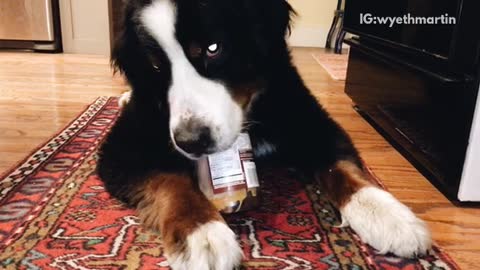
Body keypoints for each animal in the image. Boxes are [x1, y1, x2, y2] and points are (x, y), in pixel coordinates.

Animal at [96, 1, 432, 268]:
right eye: (156, 66)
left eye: (213, 49)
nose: (191, 141)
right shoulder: (125, 144)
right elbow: (171, 181)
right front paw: (202, 235)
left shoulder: (310, 119)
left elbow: (342, 168)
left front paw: (388, 216)